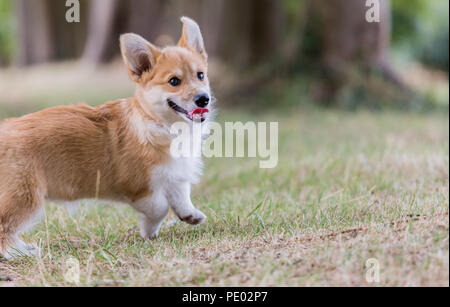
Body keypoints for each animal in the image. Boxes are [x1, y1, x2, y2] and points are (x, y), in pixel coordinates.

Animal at [0, 17, 213, 260]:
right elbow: (160, 207)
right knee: (4, 226)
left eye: (200, 75)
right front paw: (149, 229)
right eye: (174, 81)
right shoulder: (139, 187)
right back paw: (21, 252)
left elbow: (180, 195)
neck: (160, 123)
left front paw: (190, 215)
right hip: (25, 196)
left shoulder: (175, 173)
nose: (203, 99)